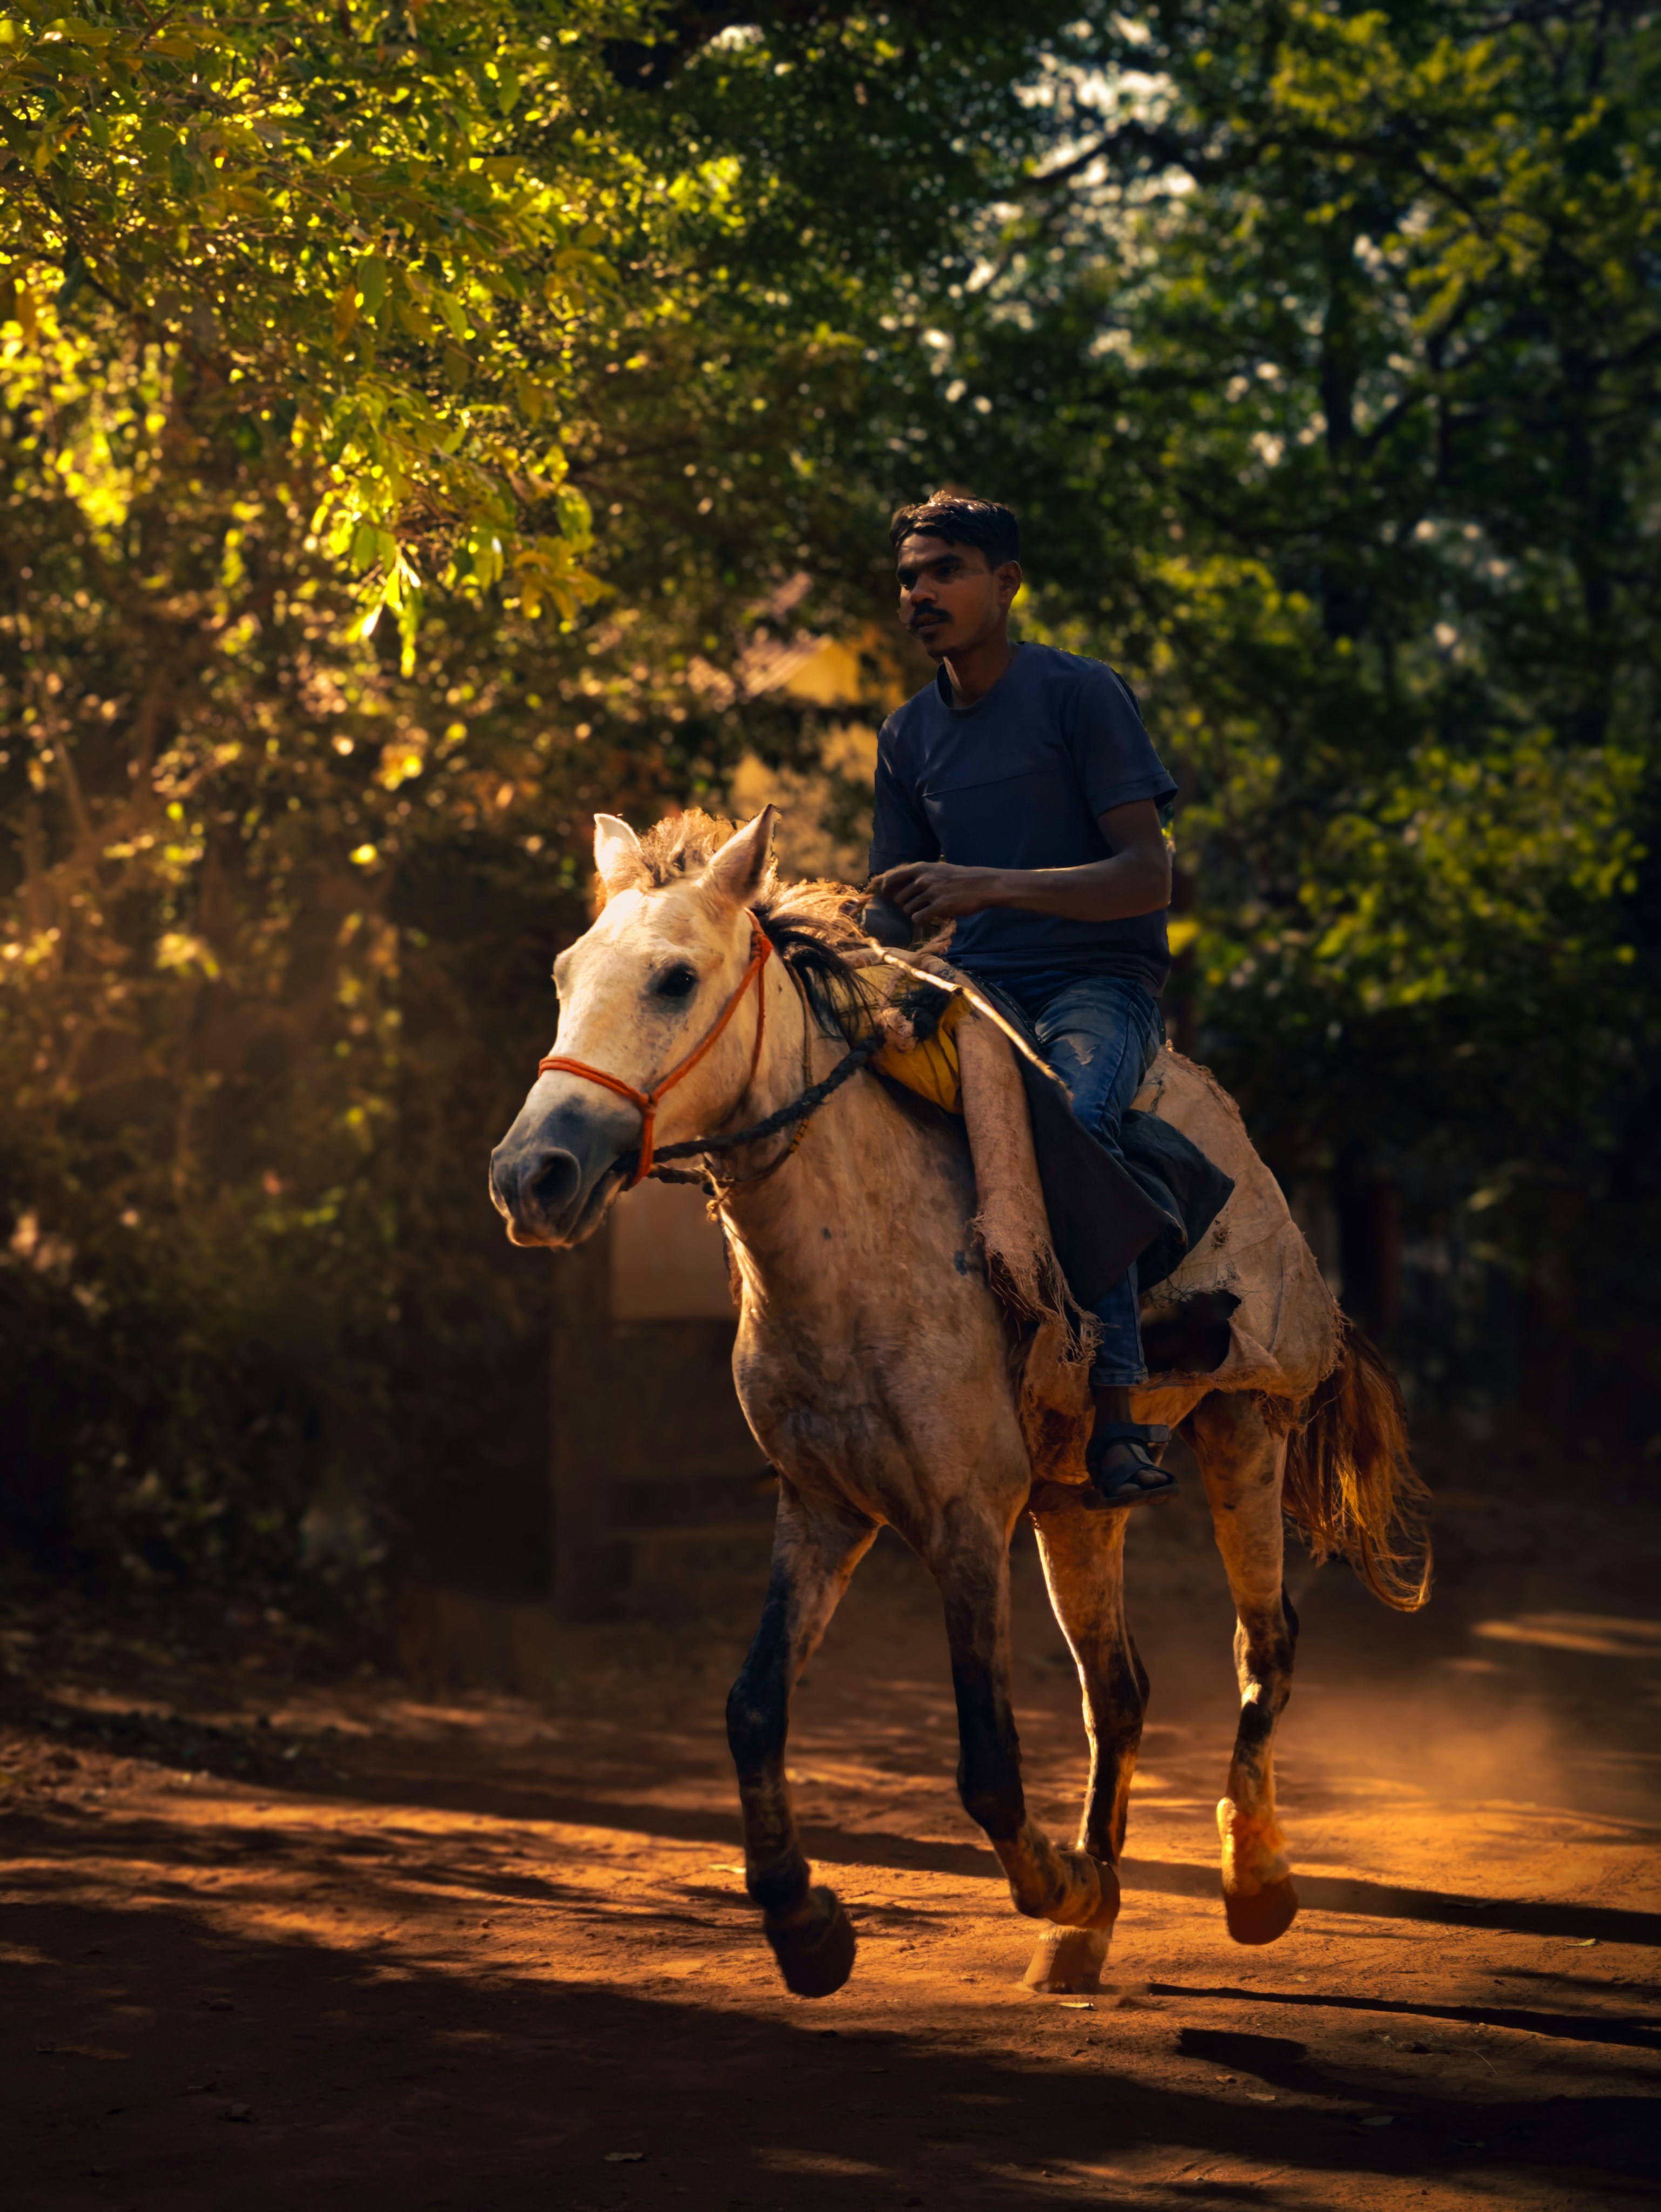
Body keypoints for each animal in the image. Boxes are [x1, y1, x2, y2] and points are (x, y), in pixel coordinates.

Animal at [488, 805, 1430, 1998]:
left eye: (673, 978)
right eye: (567, 974)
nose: (532, 1175)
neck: (853, 1259)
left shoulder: (965, 1522)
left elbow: (986, 1759)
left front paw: (1059, 1882)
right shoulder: (821, 1509)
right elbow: (752, 1708)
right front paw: (805, 1921)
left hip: (1243, 1427)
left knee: (1263, 1646)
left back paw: (1250, 1878)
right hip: (1079, 1504)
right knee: (1117, 1689)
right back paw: (1081, 1938)